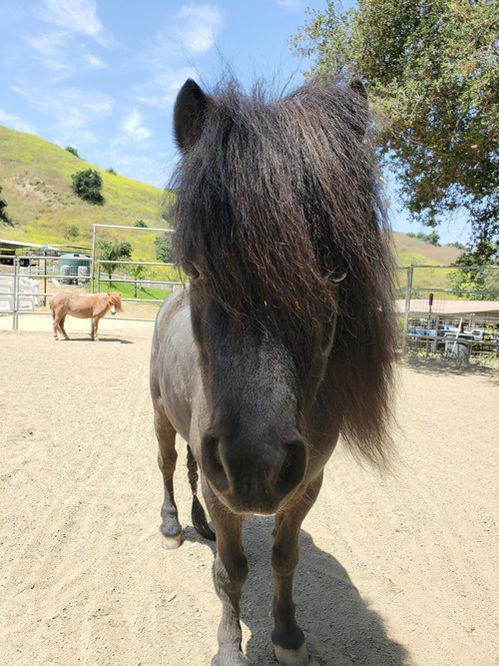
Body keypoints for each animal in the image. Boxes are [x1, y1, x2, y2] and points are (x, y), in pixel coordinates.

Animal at [150, 77, 396, 666]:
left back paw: (198, 524)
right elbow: (230, 573)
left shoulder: (306, 484)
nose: (253, 465)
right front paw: (228, 648)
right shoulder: (226, 486)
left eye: (335, 273)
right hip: (160, 413)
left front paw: (287, 635)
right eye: (198, 269)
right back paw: (172, 525)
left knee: (189, 468)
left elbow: (285, 560)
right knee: (168, 464)